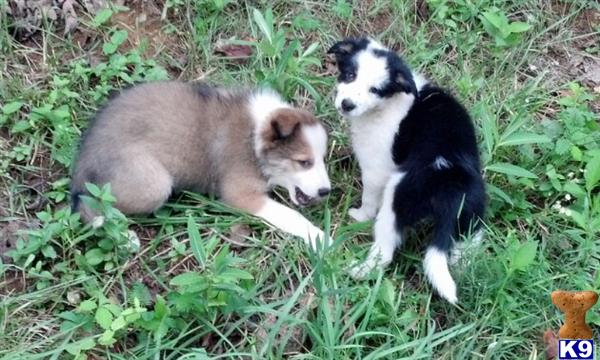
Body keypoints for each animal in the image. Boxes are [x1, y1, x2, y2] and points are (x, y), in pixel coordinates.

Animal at [73, 81, 332, 248]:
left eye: (322, 159)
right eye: (304, 162)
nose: (326, 191)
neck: (254, 136)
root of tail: (83, 159)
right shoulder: (241, 195)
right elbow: (292, 216)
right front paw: (322, 239)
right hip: (154, 185)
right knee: (93, 207)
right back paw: (125, 237)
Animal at [326, 38, 486, 302]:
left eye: (375, 90)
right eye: (350, 75)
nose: (347, 105)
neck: (390, 102)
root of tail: (450, 189)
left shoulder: (376, 168)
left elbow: (369, 197)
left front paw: (359, 215)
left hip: (395, 202)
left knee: (384, 253)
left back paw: (358, 271)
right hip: (471, 221)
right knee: (464, 255)